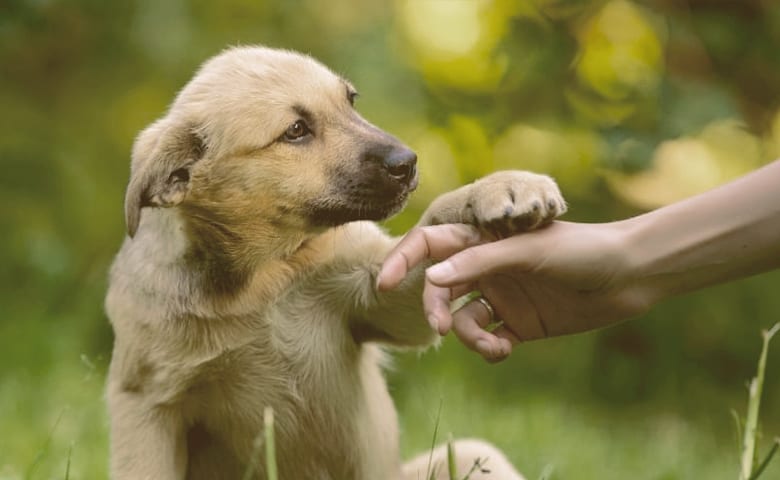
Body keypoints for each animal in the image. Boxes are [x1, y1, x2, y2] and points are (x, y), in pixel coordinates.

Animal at [105, 46, 568, 480]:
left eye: (350, 101)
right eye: (296, 130)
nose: (408, 162)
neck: (265, 278)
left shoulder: (381, 296)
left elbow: (433, 222)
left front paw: (500, 187)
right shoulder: (145, 401)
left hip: (476, 455)